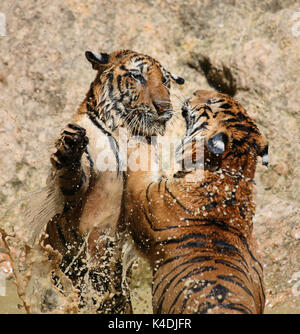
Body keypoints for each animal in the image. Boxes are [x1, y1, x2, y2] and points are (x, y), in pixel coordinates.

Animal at [26, 49, 183, 314]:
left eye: (165, 81)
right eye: (138, 76)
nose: (164, 108)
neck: (122, 132)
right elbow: (72, 177)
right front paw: (70, 147)